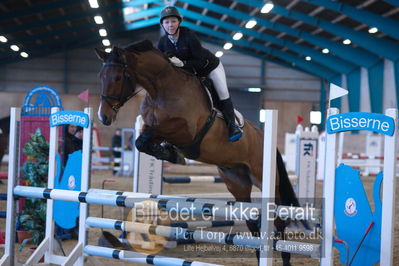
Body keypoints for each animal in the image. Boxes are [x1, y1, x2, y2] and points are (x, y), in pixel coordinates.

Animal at [95, 40, 298, 266]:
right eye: (101, 77)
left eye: (118, 77)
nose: (103, 117)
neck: (161, 88)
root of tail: (262, 135)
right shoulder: (152, 127)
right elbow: (142, 141)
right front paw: (168, 153)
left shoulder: (186, 130)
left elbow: (149, 137)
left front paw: (171, 153)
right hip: (237, 182)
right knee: (252, 219)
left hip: (264, 178)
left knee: (278, 217)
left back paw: (285, 257)